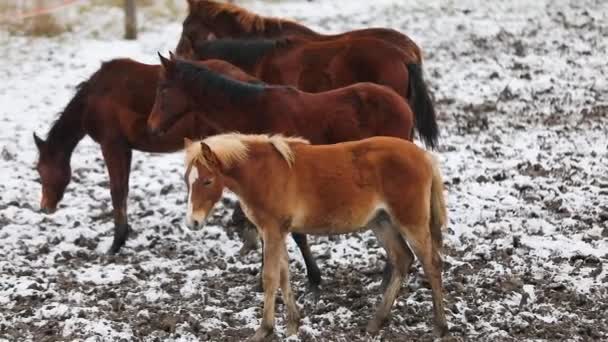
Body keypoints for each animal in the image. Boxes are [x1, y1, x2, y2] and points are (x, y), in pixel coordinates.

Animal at [183, 133, 448, 340]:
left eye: (207, 181)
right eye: (187, 180)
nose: (193, 222)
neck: (263, 173)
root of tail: (424, 156)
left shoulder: (271, 230)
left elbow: (270, 277)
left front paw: (264, 330)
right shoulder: (279, 231)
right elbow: (284, 274)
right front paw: (293, 324)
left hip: (410, 222)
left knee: (432, 263)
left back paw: (440, 327)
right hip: (381, 222)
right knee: (403, 259)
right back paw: (376, 322)